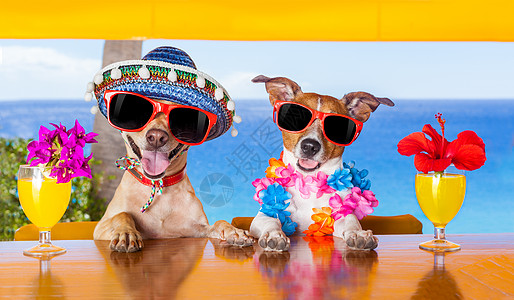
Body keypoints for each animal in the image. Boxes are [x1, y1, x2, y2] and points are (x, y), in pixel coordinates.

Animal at [92, 47, 254, 253]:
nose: (156, 137)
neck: (158, 186)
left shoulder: (198, 229)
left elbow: (219, 222)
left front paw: (234, 231)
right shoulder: (100, 228)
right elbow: (122, 215)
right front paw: (126, 233)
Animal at [248, 75, 392, 251]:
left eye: (337, 126)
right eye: (296, 116)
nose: (310, 146)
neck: (308, 183)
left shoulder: (340, 217)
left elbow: (351, 221)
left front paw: (358, 234)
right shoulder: (262, 217)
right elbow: (271, 221)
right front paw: (274, 234)